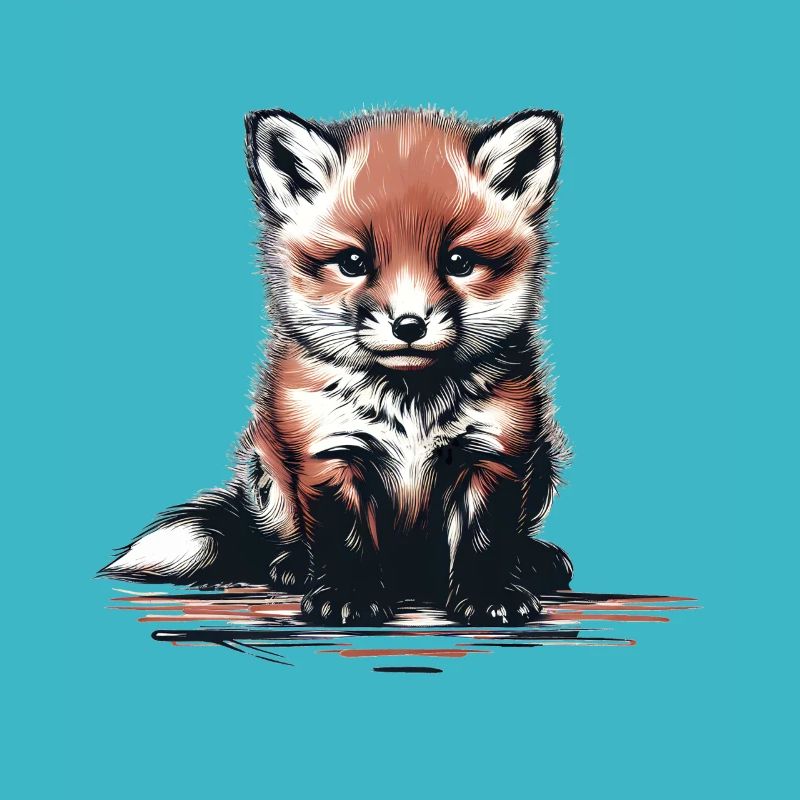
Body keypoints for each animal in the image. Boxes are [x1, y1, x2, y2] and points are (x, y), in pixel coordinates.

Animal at [99, 107, 575, 626]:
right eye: (352, 262)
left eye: (458, 261)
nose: (409, 325)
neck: (410, 405)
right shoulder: (328, 452)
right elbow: (344, 537)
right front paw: (348, 594)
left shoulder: (493, 451)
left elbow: (486, 537)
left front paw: (491, 592)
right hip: (267, 471)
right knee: (278, 538)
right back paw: (292, 565)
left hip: (543, 461)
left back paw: (533, 559)